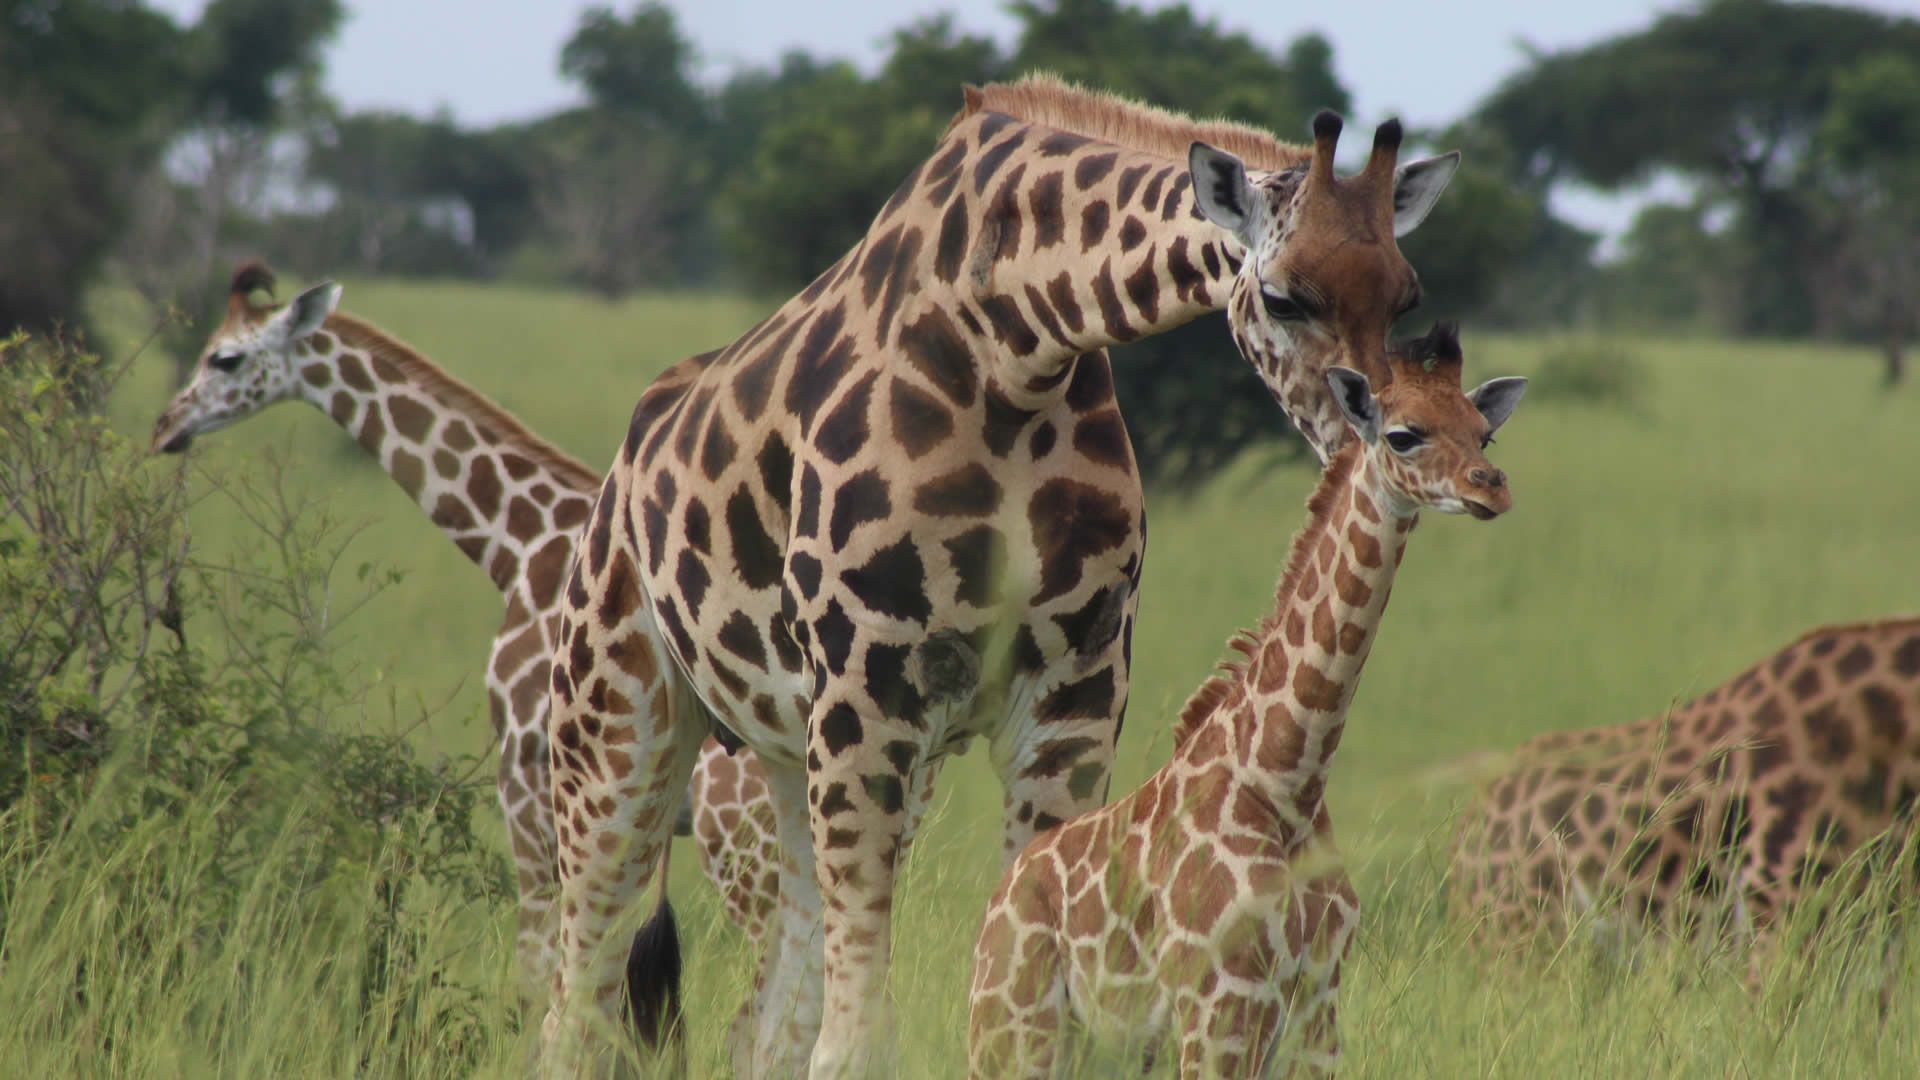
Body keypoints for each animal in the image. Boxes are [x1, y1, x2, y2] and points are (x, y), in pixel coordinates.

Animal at [533, 77, 1459, 1076]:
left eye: (1406, 296)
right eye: (1285, 298)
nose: (1376, 433)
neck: (1013, 345)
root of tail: (621, 475)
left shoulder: (1070, 699)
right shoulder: (867, 696)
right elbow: (858, 1041)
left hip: (783, 754)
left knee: (768, 1017)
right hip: (616, 735)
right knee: (576, 1006)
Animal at [975, 322, 1528, 1068]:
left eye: (1484, 435)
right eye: (1403, 435)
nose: (1490, 489)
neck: (1286, 779)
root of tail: (1000, 896)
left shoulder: (1317, 1010)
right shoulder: (1222, 1002)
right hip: (1013, 1028)